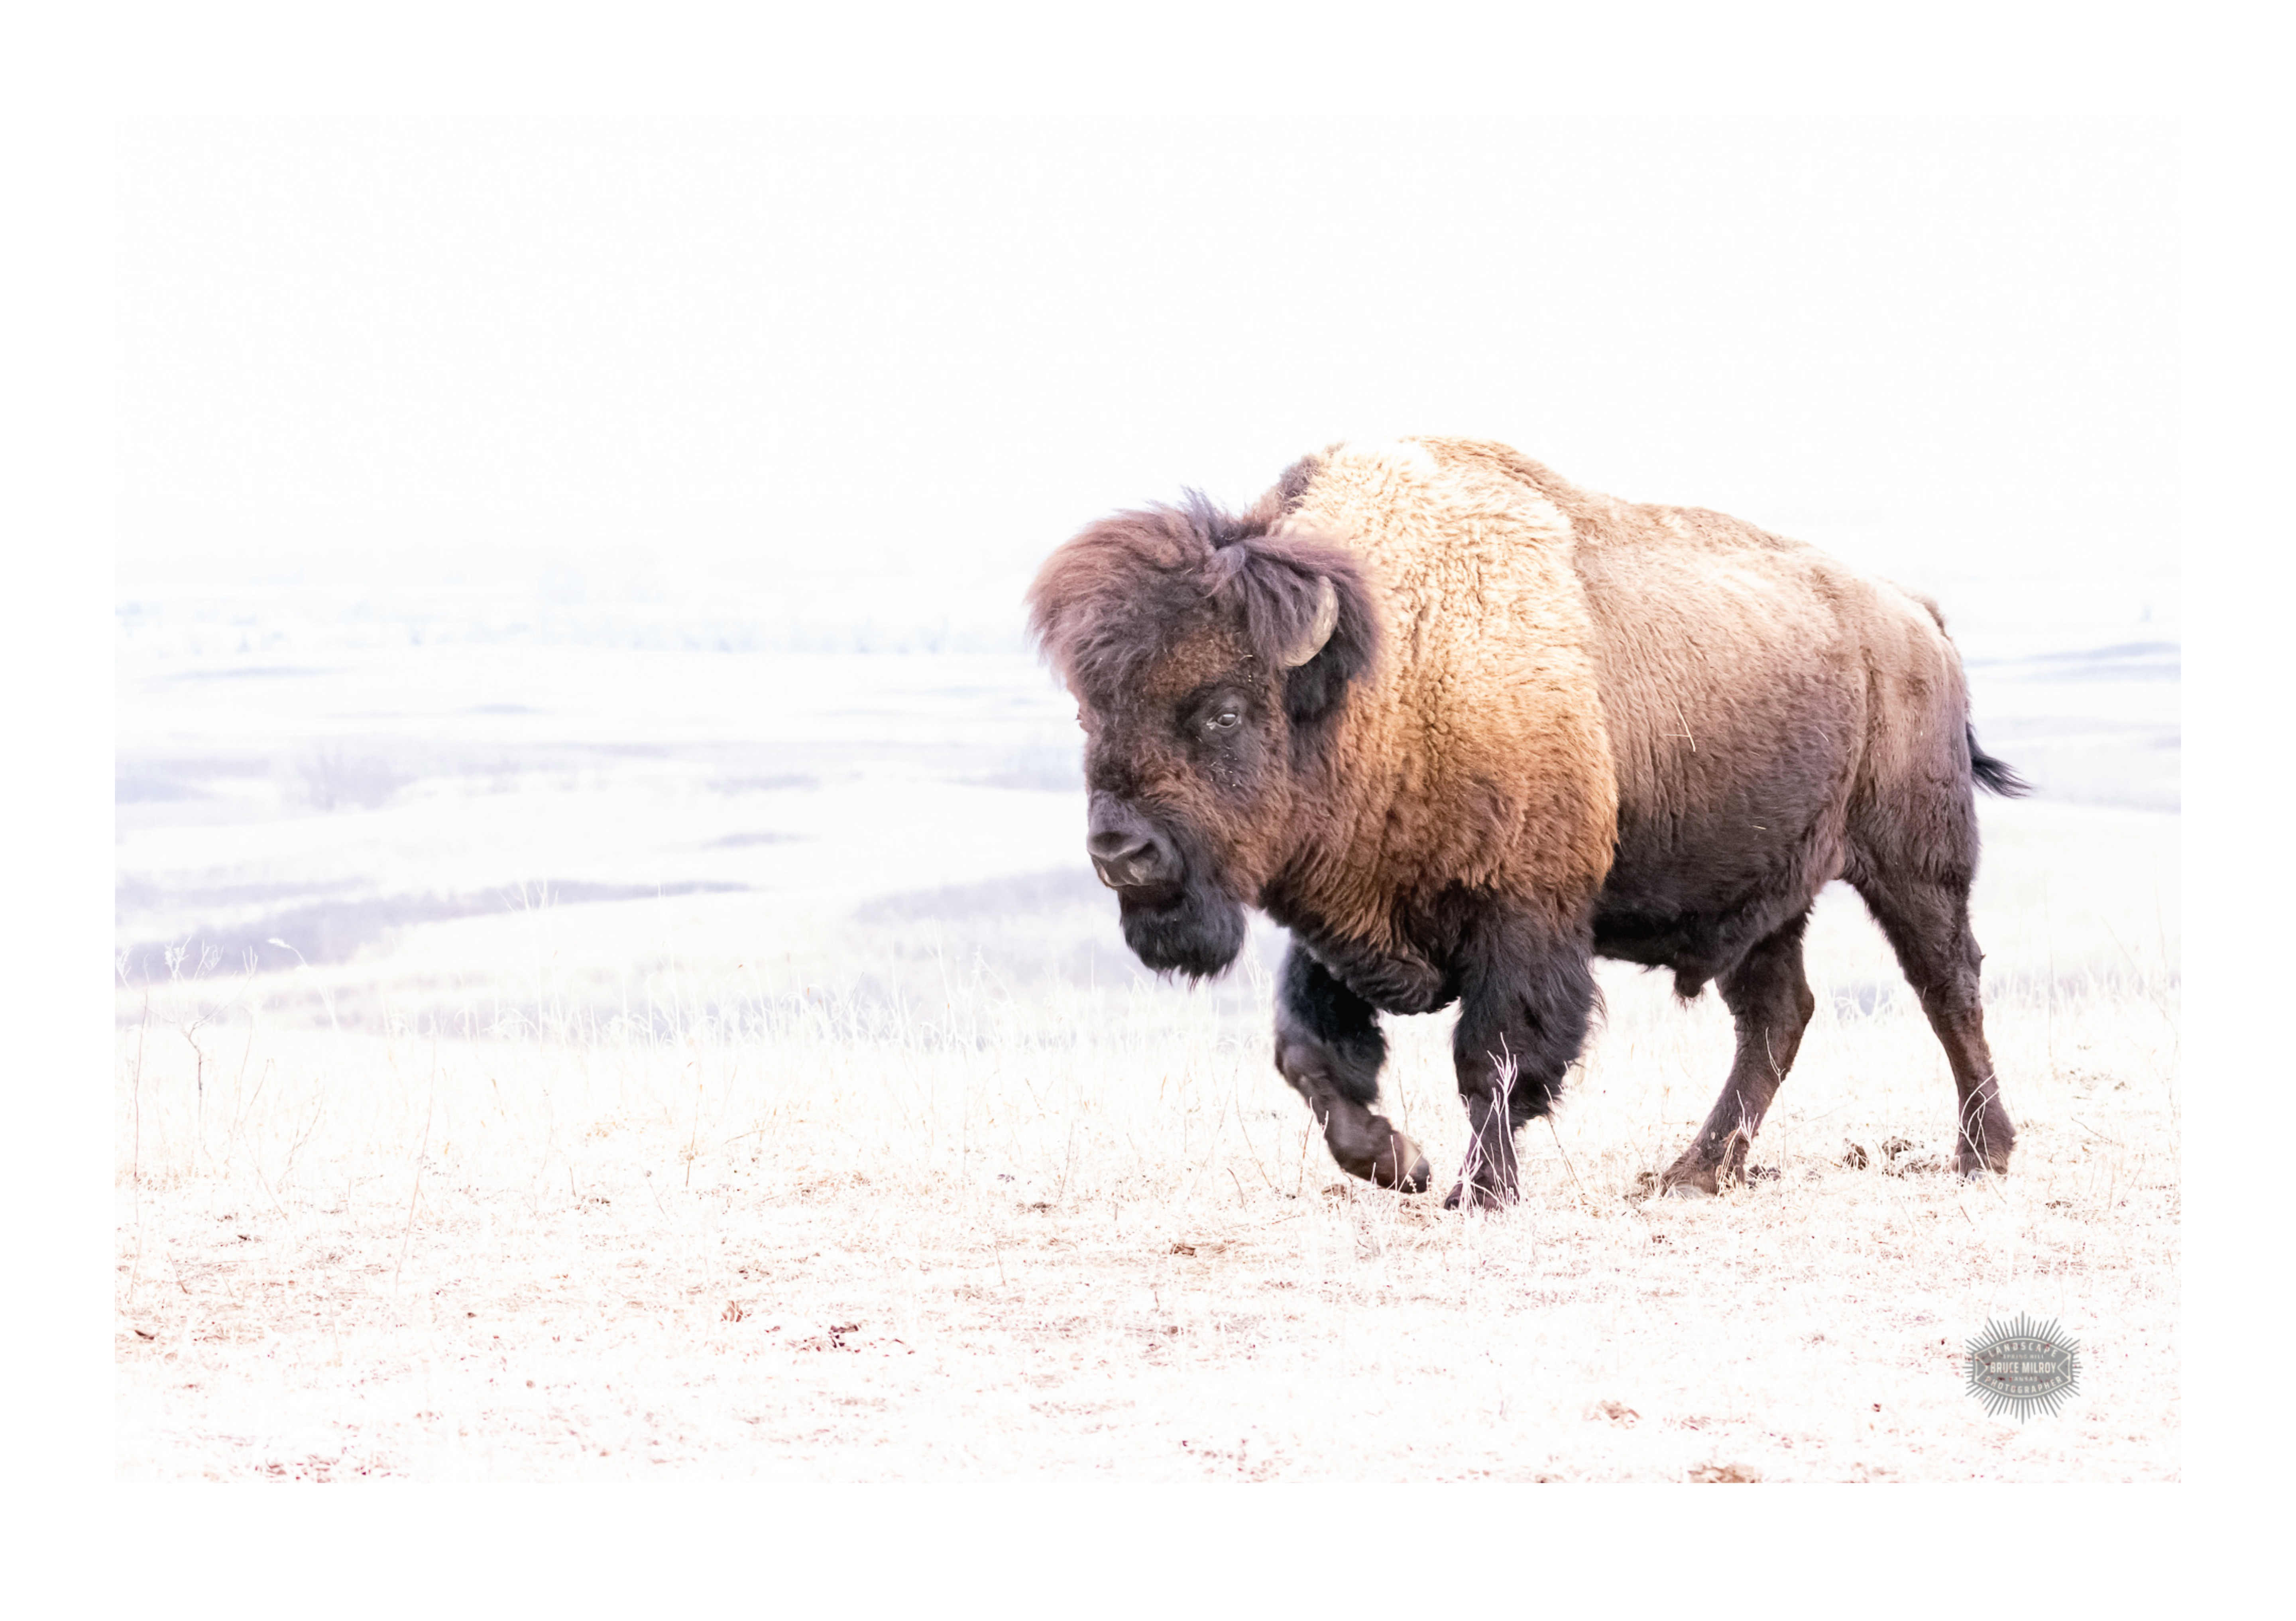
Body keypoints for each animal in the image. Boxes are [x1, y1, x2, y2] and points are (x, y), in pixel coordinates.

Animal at [1027, 437, 2024, 1206]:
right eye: (1088, 712)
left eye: (1223, 711)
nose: (1121, 851)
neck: (1384, 668)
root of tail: (1917, 616)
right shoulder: (1339, 920)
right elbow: (1311, 1055)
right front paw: (1400, 1164)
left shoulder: (1526, 918)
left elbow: (1497, 1061)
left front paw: (1478, 1190)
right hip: (1766, 895)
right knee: (1777, 1017)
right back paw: (1693, 1172)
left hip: (1914, 861)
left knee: (1948, 988)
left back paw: (1983, 1152)